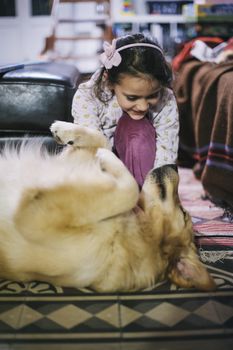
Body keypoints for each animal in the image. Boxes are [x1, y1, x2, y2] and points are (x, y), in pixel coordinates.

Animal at [0, 121, 216, 292]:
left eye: (184, 213)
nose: (175, 166)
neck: (140, 228)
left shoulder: (34, 221)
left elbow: (130, 189)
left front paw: (106, 156)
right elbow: (103, 138)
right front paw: (65, 130)